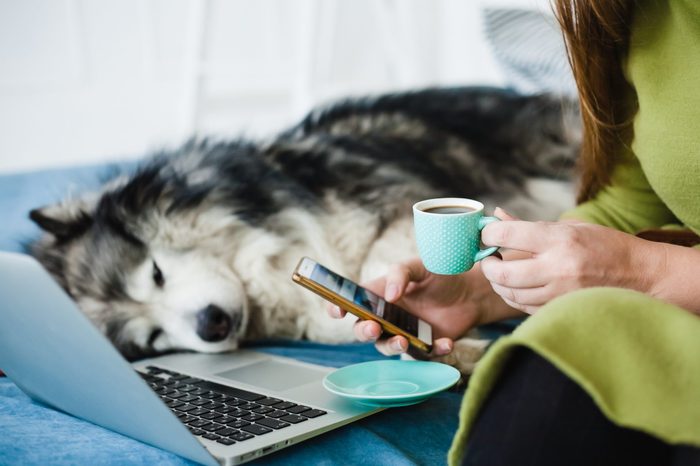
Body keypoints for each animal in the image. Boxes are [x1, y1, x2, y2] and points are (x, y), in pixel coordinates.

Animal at [26, 87, 580, 372]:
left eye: (156, 272)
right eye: (154, 339)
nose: (212, 325)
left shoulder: (397, 205)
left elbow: (379, 265)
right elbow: (336, 324)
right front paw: (452, 347)